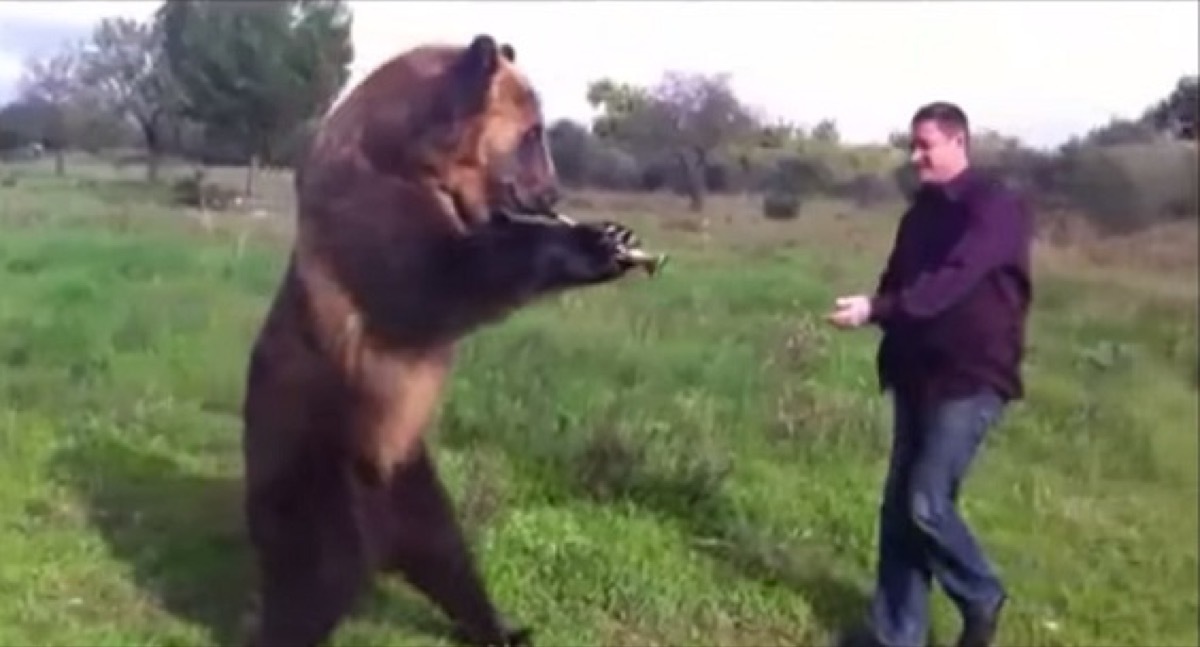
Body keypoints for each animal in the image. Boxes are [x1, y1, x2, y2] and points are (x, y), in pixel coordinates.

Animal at [239, 34, 645, 647]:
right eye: (533, 134)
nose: (553, 191)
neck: (415, 157)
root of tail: (382, 537)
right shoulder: (370, 210)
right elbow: (432, 279)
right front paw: (594, 243)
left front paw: (615, 235)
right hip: (319, 454)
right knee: (319, 570)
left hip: (409, 466)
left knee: (450, 557)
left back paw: (505, 627)